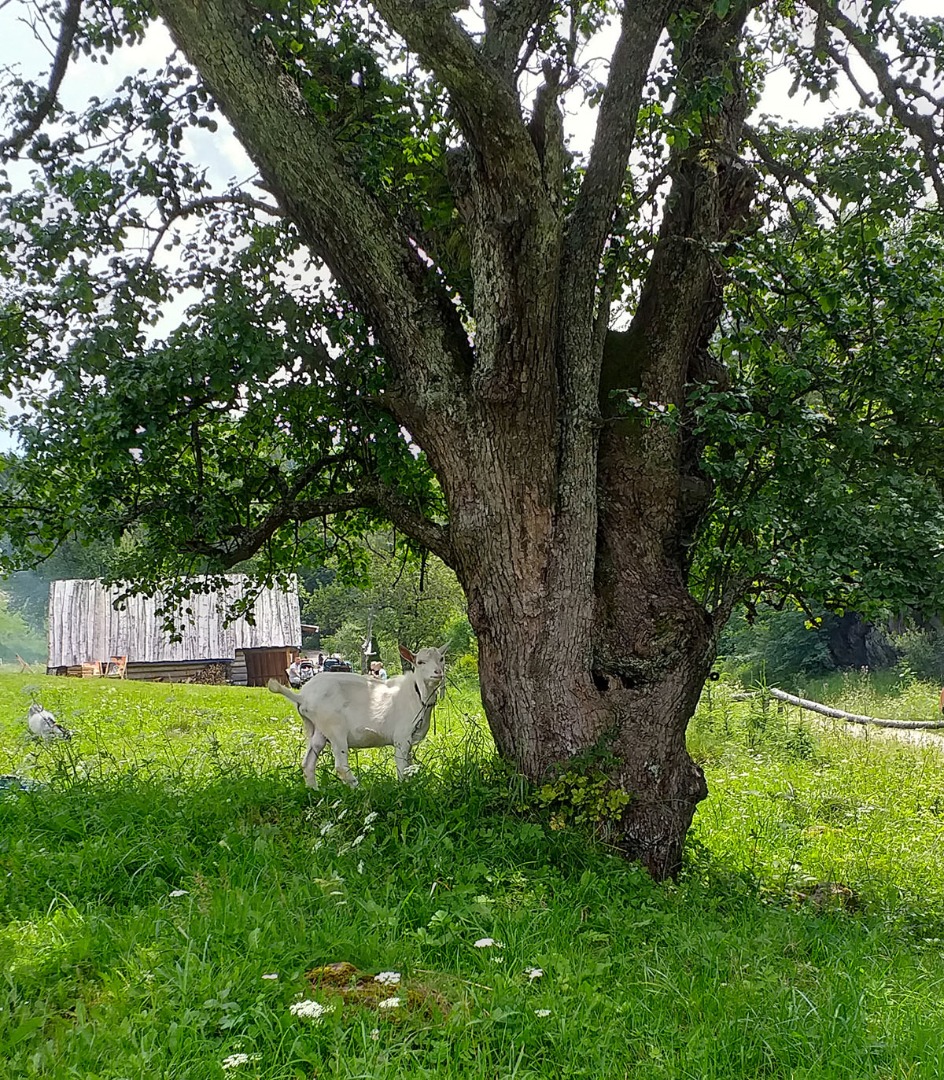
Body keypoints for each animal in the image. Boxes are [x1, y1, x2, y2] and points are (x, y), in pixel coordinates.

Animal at [264, 639, 440, 786]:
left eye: (442, 659)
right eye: (420, 662)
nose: (438, 672)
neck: (417, 693)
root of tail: (302, 696)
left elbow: (409, 766)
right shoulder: (402, 738)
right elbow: (403, 767)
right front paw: (404, 788)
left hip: (316, 728)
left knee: (308, 762)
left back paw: (315, 791)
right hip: (334, 727)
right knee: (341, 766)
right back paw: (359, 789)